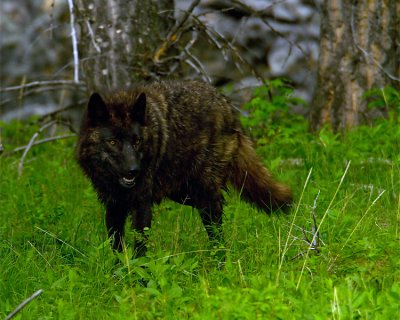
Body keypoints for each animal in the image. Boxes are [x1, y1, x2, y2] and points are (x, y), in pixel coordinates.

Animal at [76, 80, 292, 255]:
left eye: (137, 141)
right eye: (112, 142)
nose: (133, 170)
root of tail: (227, 105)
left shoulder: (142, 205)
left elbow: (140, 249)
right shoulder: (113, 206)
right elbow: (117, 249)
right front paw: (119, 275)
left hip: (205, 196)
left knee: (218, 234)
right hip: (186, 195)